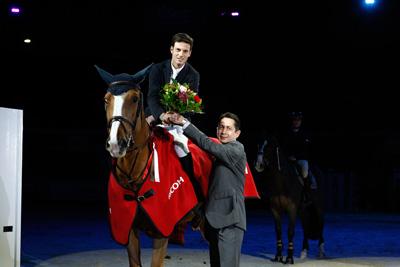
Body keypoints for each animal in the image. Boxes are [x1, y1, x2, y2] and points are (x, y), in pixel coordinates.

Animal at [256, 135, 324, 264]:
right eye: (259, 145)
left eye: (270, 147)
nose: (258, 164)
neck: (282, 182)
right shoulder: (275, 209)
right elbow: (278, 231)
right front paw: (278, 256)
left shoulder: (292, 208)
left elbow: (290, 231)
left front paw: (289, 258)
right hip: (303, 210)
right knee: (305, 227)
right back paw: (303, 252)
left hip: (318, 207)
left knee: (321, 225)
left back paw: (321, 252)